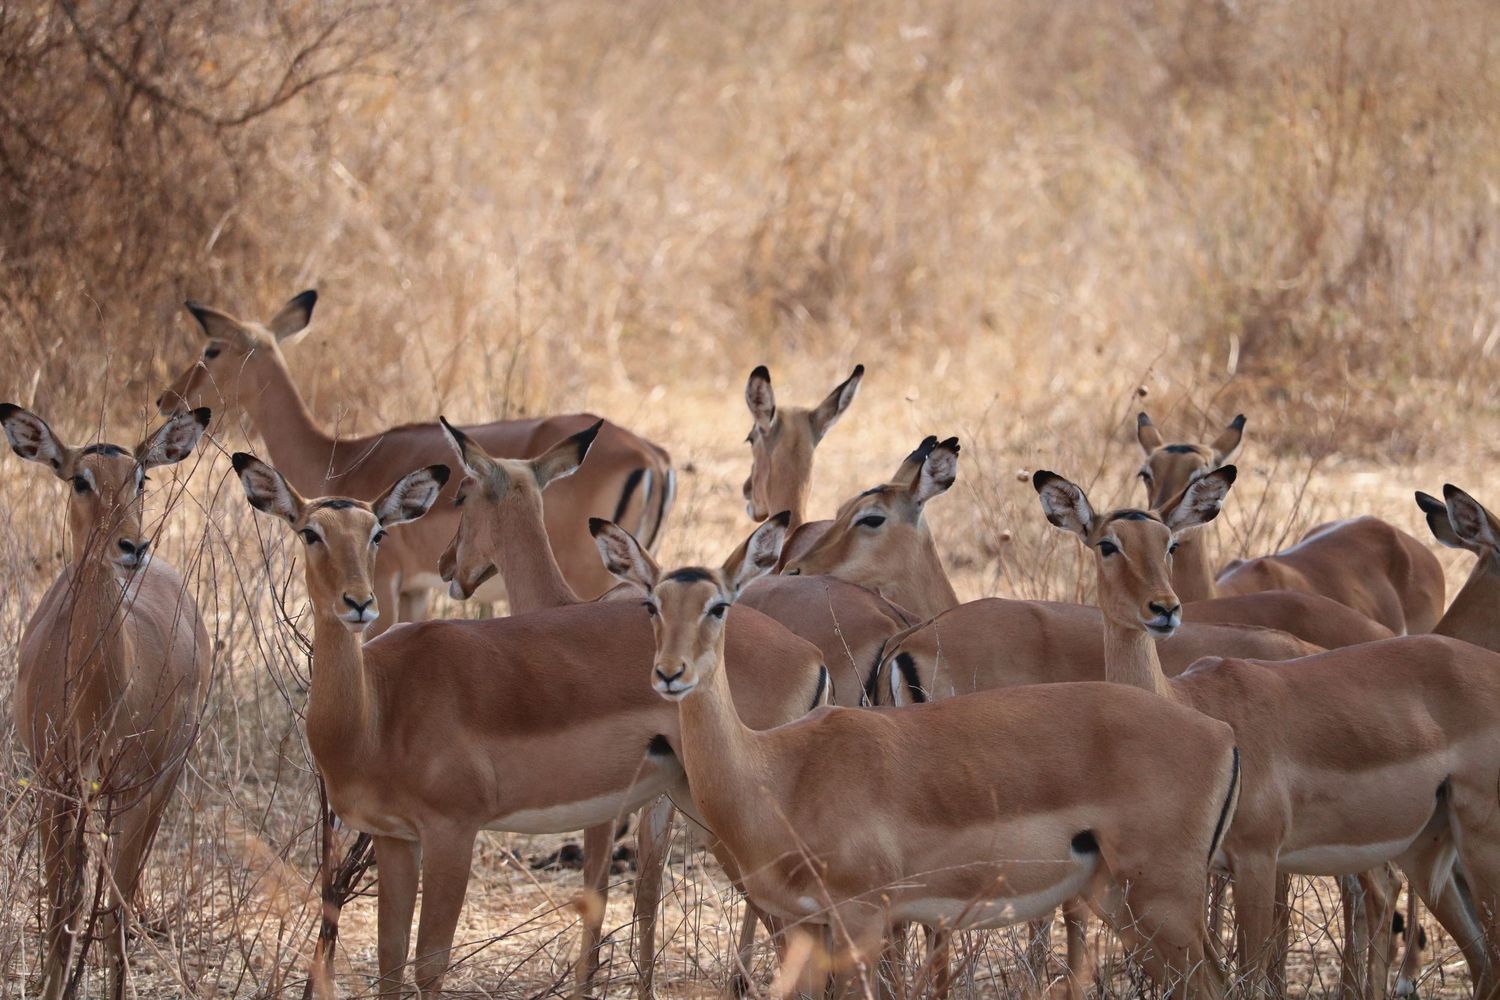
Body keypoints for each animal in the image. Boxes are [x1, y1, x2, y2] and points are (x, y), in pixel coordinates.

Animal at [2, 404, 212, 1000]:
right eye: (80, 479)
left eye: (141, 479)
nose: (132, 547)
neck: (94, 697)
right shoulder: (55, 785)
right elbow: (61, 909)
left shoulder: (136, 786)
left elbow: (110, 907)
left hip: (154, 788)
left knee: (125, 892)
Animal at [159, 290, 674, 635]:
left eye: (211, 349)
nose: (167, 399)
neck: (340, 455)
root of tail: (651, 455)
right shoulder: (415, 590)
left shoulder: (384, 584)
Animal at [231, 454, 828, 998]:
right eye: (310, 532)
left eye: (376, 532)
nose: (359, 602)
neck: (377, 708)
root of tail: (812, 656)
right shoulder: (395, 837)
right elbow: (390, 962)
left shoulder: (452, 831)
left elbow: (430, 965)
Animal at [591, 514, 1243, 1000]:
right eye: (652, 604)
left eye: (718, 605)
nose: (669, 674)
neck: (779, 772)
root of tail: (1218, 733)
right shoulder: (811, 926)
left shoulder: (859, 919)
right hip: (1127, 903)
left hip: (1165, 903)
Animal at [1035, 464, 1500, 996]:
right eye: (1107, 544)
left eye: (1169, 543)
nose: (1164, 609)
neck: (1191, 706)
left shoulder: (1258, 858)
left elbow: (1253, 977)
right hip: (1431, 851)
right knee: (1480, 959)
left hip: (1480, 843)